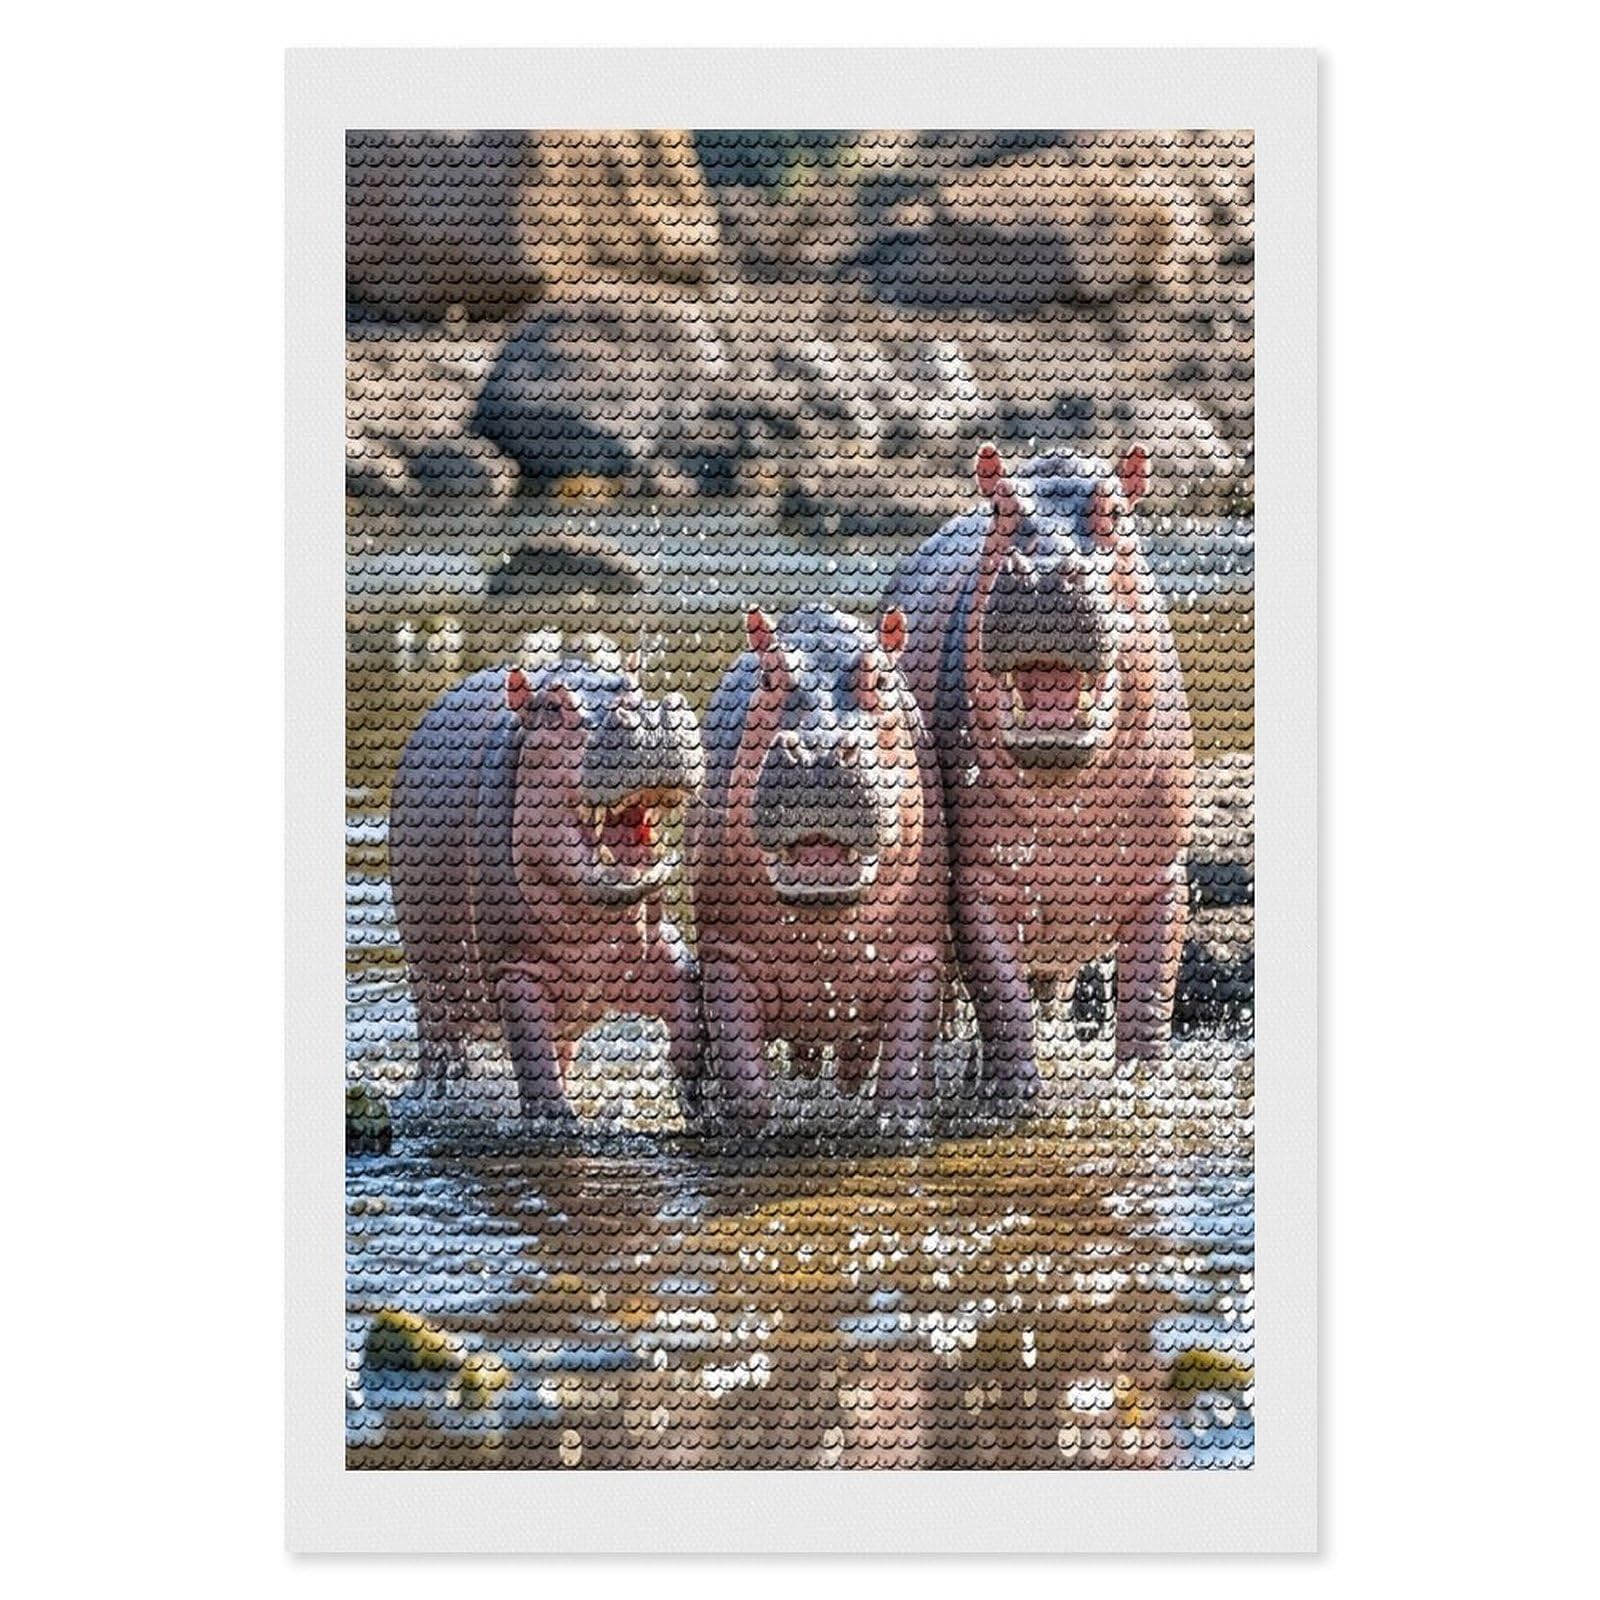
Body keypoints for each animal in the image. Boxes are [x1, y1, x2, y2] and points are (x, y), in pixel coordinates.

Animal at [388, 658, 706, 1128]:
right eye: (554, 708)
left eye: (633, 684)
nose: (650, 715)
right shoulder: (514, 971)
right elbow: (535, 1064)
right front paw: (560, 1121)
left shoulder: (654, 951)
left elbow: (687, 998)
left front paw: (693, 1093)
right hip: (431, 984)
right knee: (441, 1044)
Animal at [688, 607, 949, 1133]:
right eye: (769, 676)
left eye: (881, 677)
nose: (818, 750)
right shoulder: (725, 954)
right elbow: (744, 1077)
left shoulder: (921, 957)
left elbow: (903, 1068)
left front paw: (898, 1124)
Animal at [883, 445, 1196, 1103]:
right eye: (1002, 507)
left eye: (1114, 510)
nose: (1046, 572)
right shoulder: (975, 885)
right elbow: (999, 991)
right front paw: (1018, 1096)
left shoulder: (1162, 877)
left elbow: (1150, 986)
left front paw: (1143, 1084)